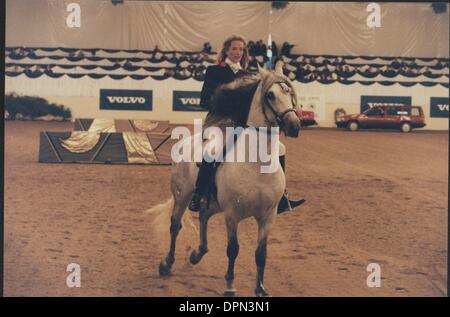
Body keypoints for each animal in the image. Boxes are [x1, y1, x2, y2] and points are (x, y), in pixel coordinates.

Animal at [149, 64, 300, 296]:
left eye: (289, 93)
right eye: (270, 95)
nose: (294, 125)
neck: (257, 164)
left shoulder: (268, 216)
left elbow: (261, 253)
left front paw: (260, 288)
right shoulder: (232, 214)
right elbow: (233, 249)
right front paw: (230, 286)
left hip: (213, 203)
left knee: (203, 216)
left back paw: (197, 254)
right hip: (182, 196)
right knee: (175, 225)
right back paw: (166, 264)